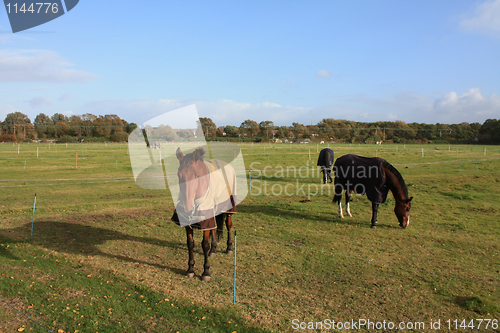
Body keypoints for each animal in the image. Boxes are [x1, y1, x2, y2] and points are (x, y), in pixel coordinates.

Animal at [170, 148, 236, 280]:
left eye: (197, 176)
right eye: (179, 175)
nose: (187, 208)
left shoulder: (206, 220)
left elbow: (204, 245)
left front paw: (206, 272)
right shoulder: (188, 223)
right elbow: (190, 244)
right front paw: (190, 269)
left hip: (229, 208)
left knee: (228, 225)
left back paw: (229, 248)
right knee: (214, 228)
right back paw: (213, 250)